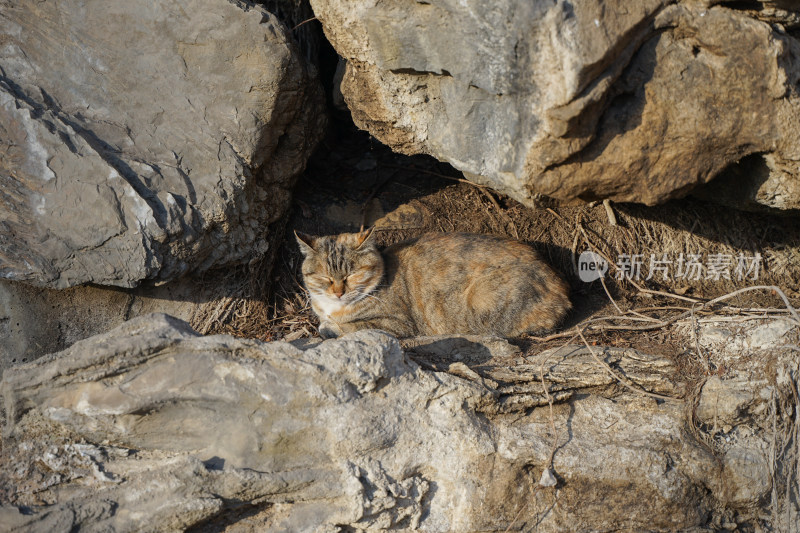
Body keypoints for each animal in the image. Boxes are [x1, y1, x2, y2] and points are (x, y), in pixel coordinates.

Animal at [296, 228, 572, 336]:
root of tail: (562, 288)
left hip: (482, 302)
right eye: (325, 277)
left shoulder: (397, 324)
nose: (339, 292)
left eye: (351, 275)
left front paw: (330, 327)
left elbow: (353, 327)